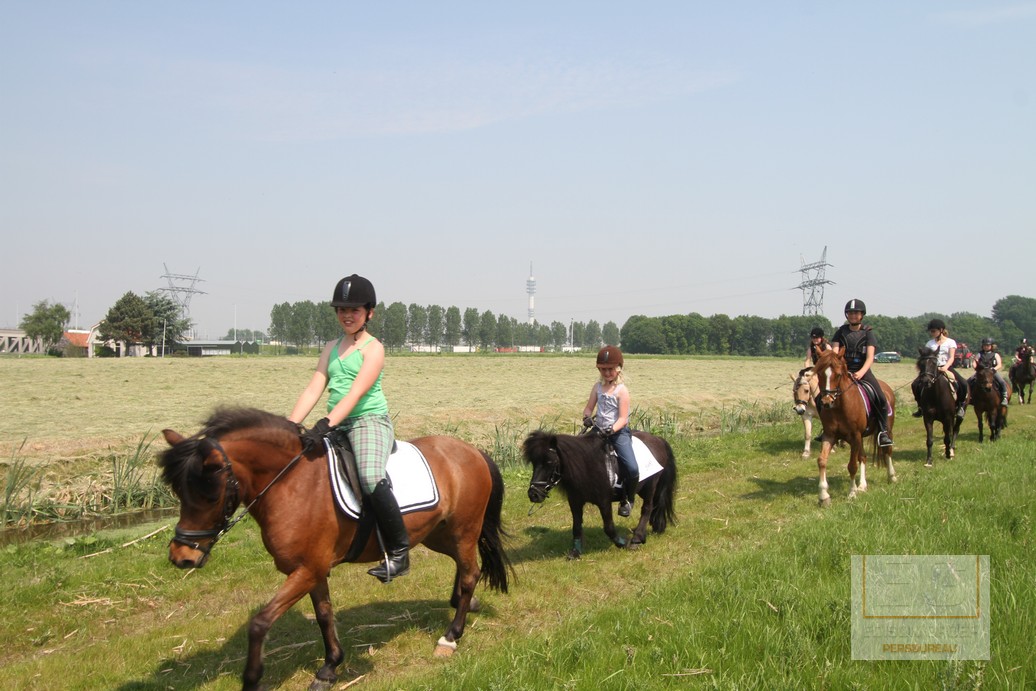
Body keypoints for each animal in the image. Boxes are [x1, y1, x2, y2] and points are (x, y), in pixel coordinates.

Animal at [159, 407, 511, 691]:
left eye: (209, 493)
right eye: (178, 490)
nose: (182, 557)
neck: (290, 484)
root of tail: (471, 449)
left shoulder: (307, 570)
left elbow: (260, 623)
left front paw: (252, 679)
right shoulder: (313, 571)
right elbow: (324, 615)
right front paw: (329, 668)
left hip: (463, 530)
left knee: (470, 572)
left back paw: (450, 636)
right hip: (438, 534)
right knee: (463, 568)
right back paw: (464, 602)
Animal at [524, 426, 677, 559]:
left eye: (550, 462)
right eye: (533, 462)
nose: (533, 494)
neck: (586, 465)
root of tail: (658, 439)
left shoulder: (604, 501)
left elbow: (608, 527)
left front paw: (623, 543)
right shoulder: (575, 501)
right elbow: (576, 527)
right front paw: (575, 552)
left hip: (650, 486)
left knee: (647, 508)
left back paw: (636, 538)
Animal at [813, 349, 897, 507]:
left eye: (838, 374)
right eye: (819, 374)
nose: (826, 402)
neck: (839, 407)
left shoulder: (855, 436)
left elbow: (852, 465)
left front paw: (852, 493)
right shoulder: (830, 435)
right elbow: (821, 461)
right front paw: (823, 496)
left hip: (887, 429)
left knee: (887, 451)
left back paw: (892, 477)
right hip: (860, 438)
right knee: (863, 457)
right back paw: (862, 485)